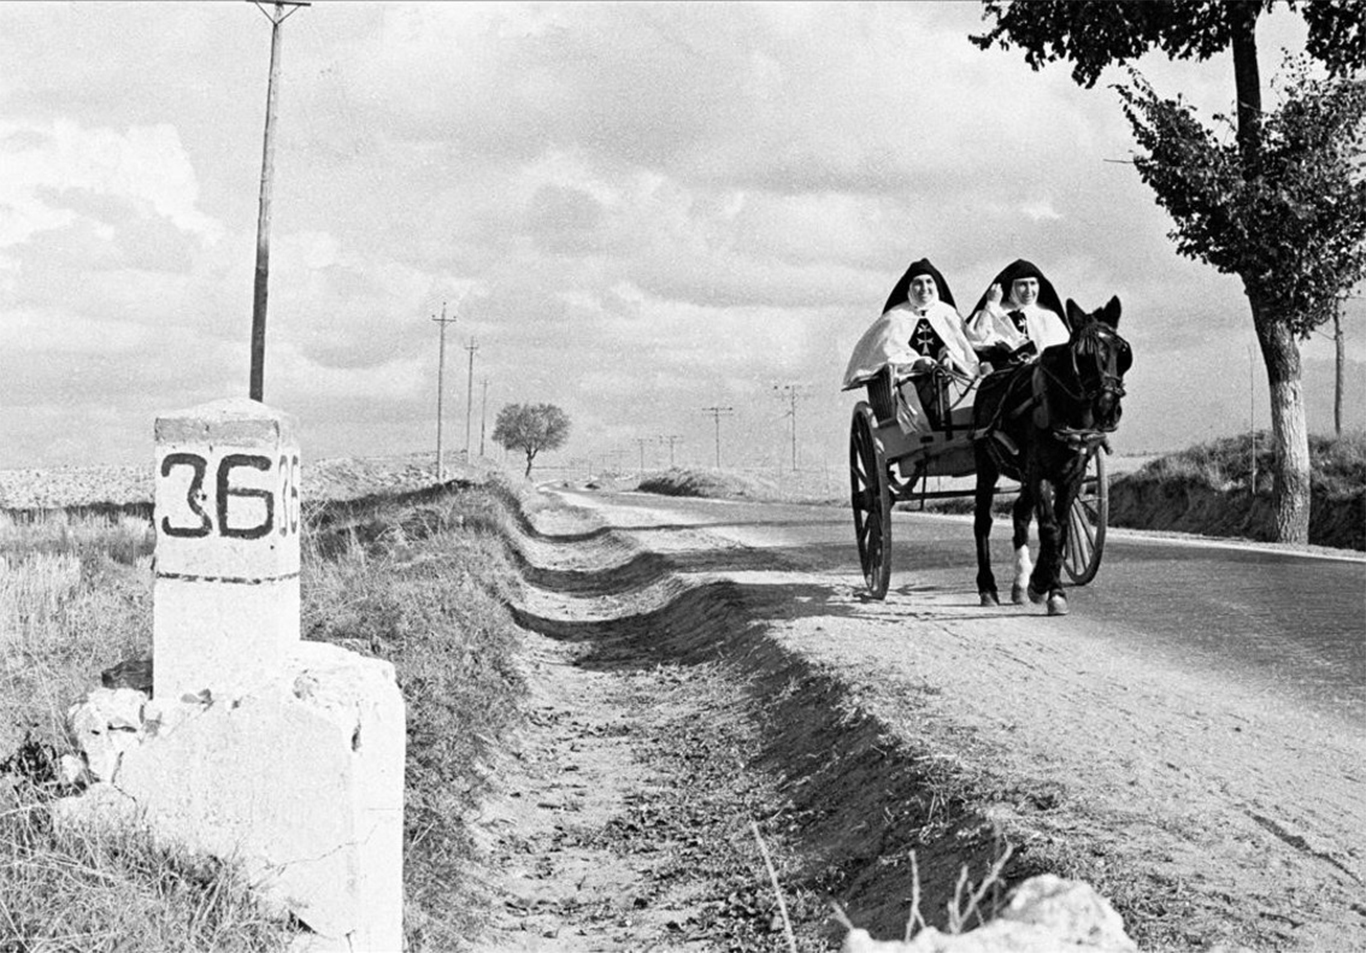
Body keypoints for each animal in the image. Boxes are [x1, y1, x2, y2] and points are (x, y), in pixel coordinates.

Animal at [972, 293, 1131, 611]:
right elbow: (1050, 528)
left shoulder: (1073, 473)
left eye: (1122, 351)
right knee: (983, 520)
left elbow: (1062, 528)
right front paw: (1043, 585)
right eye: (1081, 354)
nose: (1107, 408)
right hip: (987, 465)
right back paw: (988, 588)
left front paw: (1050, 587)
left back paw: (1020, 584)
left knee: (1021, 513)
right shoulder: (1039, 472)